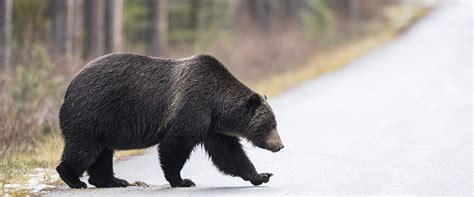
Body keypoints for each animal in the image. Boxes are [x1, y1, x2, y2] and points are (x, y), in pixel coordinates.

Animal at [57, 53, 284, 189]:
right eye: (270, 125)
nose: (280, 145)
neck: (216, 105)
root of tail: (69, 87)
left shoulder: (212, 126)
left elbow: (229, 154)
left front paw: (261, 175)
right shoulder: (192, 107)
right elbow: (175, 144)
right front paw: (183, 180)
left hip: (105, 125)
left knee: (102, 153)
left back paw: (113, 180)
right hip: (93, 113)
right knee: (84, 148)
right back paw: (74, 179)